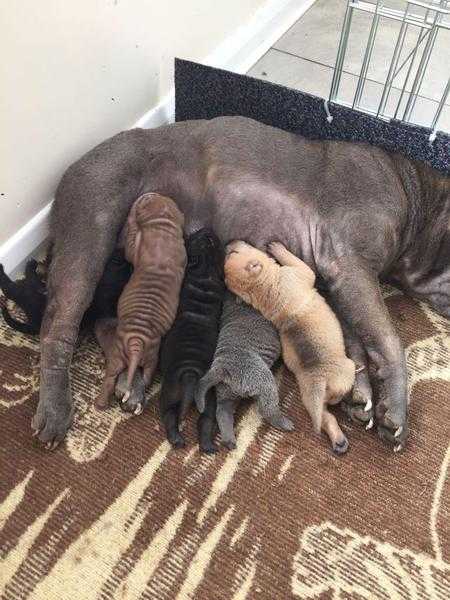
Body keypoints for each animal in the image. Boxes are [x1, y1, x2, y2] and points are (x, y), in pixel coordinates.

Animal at [160, 227, 227, 452]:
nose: (208, 228)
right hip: (208, 399)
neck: (204, 275)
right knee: (206, 421)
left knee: (169, 416)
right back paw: (207, 446)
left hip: (170, 393)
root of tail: (191, 372)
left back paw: (177, 439)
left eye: (194, 237)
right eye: (210, 239)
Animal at [225, 240, 356, 454]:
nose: (229, 243)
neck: (263, 287)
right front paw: (277, 248)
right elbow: (296, 261)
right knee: (336, 399)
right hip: (345, 372)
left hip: (310, 399)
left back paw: (338, 440)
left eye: (232, 253)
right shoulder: (300, 271)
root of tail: (320, 381)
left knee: (325, 417)